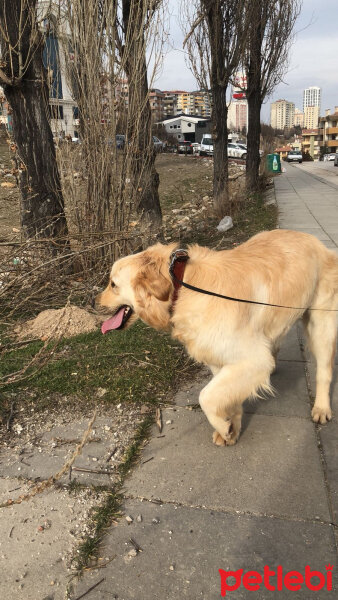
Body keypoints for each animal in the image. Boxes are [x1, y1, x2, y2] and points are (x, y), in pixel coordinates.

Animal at [95, 230, 338, 446]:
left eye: (113, 284)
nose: (91, 302)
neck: (181, 286)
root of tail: (320, 244)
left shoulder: (251, 359)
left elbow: (206, 397)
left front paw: (223, 426)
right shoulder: (219, 359)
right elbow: (226, 398)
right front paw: (231, 429)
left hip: (321, 325)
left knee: (324, 371)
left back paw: (321, 407)